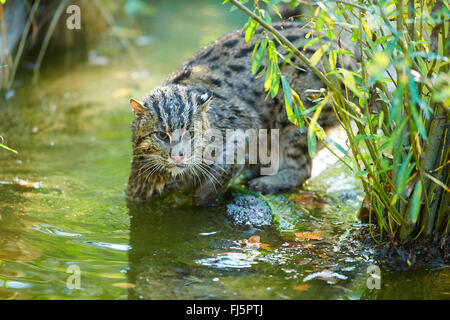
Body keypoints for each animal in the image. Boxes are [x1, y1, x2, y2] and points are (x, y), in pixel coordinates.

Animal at [126, 21, 356, 205]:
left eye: (191, 134)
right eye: (162, 135)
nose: (177, 156)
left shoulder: (247, 123)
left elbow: (228, 163)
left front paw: (202, 196)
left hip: (296, 110)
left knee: (303, 167)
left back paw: (266, 182)